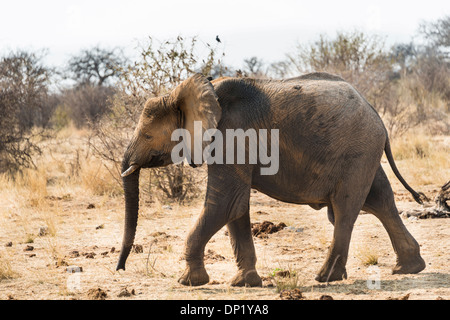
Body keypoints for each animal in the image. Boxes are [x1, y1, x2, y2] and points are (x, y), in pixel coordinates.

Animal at [116, 72, 426, 284]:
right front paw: (244, 283)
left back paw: (325, 277)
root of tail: (376, 114)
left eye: (147, 135)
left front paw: (189, 282)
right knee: (380, 200)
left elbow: (224, 204)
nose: (121, 268)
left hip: (356, 152)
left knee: (344, 210)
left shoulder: (232, 136)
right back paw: (408, 268)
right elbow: (236, 208)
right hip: (364, 154)